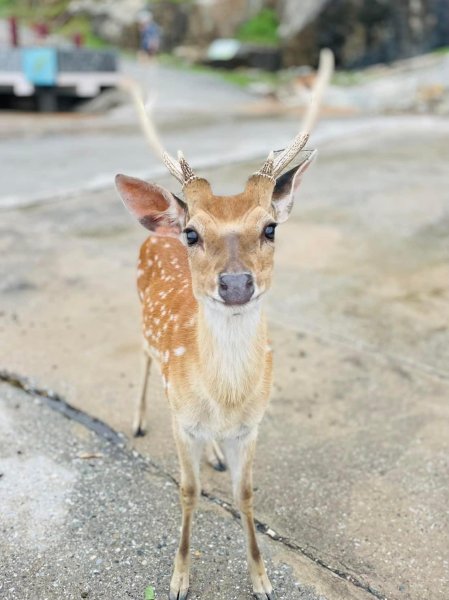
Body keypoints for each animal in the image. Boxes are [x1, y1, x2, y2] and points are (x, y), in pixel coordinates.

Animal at [115, 51, 332, 600]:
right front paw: (178, 578)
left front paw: (261, 580)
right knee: (144, 358)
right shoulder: (181, 418)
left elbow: (246, 493)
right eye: (194, 233)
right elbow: (189, 491)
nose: (235, 284)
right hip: (143, 323)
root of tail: (157, 230)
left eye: (270, 227)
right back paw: (137, 419)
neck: (226, 397)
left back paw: (212, 452)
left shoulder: (251, 425)